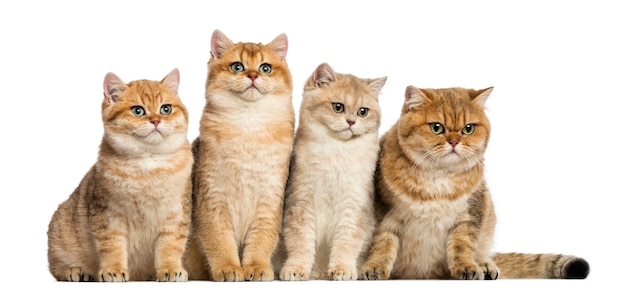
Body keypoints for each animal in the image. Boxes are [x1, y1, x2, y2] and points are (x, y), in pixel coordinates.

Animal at [47, 69, 193, 282]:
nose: (156, 121)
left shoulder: (176, 213)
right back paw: (76, 271)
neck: (149, 163)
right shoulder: (108, 215)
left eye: (165, 109)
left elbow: (171, 245)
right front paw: (113, 270)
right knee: (57, 267)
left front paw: (170, 269)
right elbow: (112, 246)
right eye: (138, 111)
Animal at [183, 29, 294, 282]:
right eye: (237, 66)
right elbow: (219, 241)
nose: (252, 75)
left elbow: (262, 240)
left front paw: (255, 266)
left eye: (265, 68)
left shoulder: (269, 200)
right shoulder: (212, 199)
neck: (249, 127)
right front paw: (228, 267)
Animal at [272, 63, 386, 280]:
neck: (336, 154)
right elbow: (301, 244)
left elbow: (346, 243)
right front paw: (296, 269)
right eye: (338, 107)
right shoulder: (301, 204)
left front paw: (342, 269)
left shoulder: (354, 207)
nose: (351, 122)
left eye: (363, 112)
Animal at [358, 86, 588, 280]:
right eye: (436, 127)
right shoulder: (387, 214)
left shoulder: (469, 213)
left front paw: (467, 266)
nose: (454, 141)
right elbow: (383, 243)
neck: (439, 176)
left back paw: (485, 264)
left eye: (468, 128)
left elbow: (462, 244)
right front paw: (375, 267)